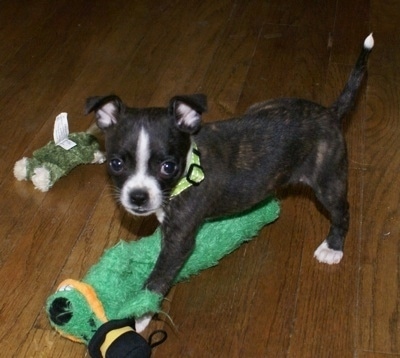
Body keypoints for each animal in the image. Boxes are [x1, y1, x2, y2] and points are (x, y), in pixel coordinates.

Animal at [85, 33, 376, 298]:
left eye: (168, 167)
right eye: (116, 163)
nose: (138, 197)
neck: (190, 166)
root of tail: (330, 112)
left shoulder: (180, 240)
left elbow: (159, 277)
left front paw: (138, 312)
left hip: (328, 179)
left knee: (342, 211)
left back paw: (333, 247)